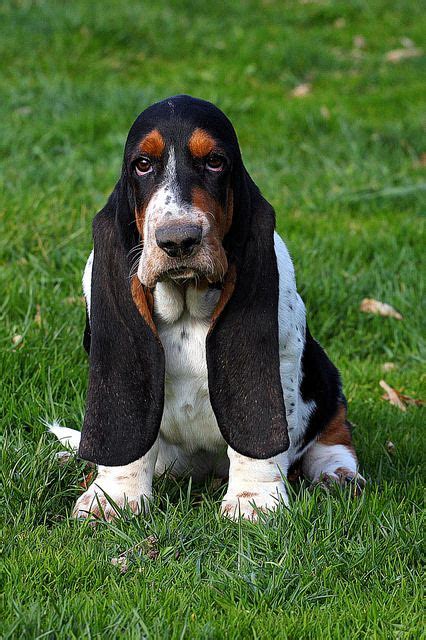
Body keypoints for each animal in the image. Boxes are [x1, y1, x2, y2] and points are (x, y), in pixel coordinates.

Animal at [49, 92, 362, 520]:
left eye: (215, 161)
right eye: (142, 164)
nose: (178, 240)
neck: (185, 303)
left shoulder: (278, 357)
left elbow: (262, 439)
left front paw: (254, 500)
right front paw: (113, 497)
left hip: (323, 370)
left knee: (333, 427)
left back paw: (336, 472)